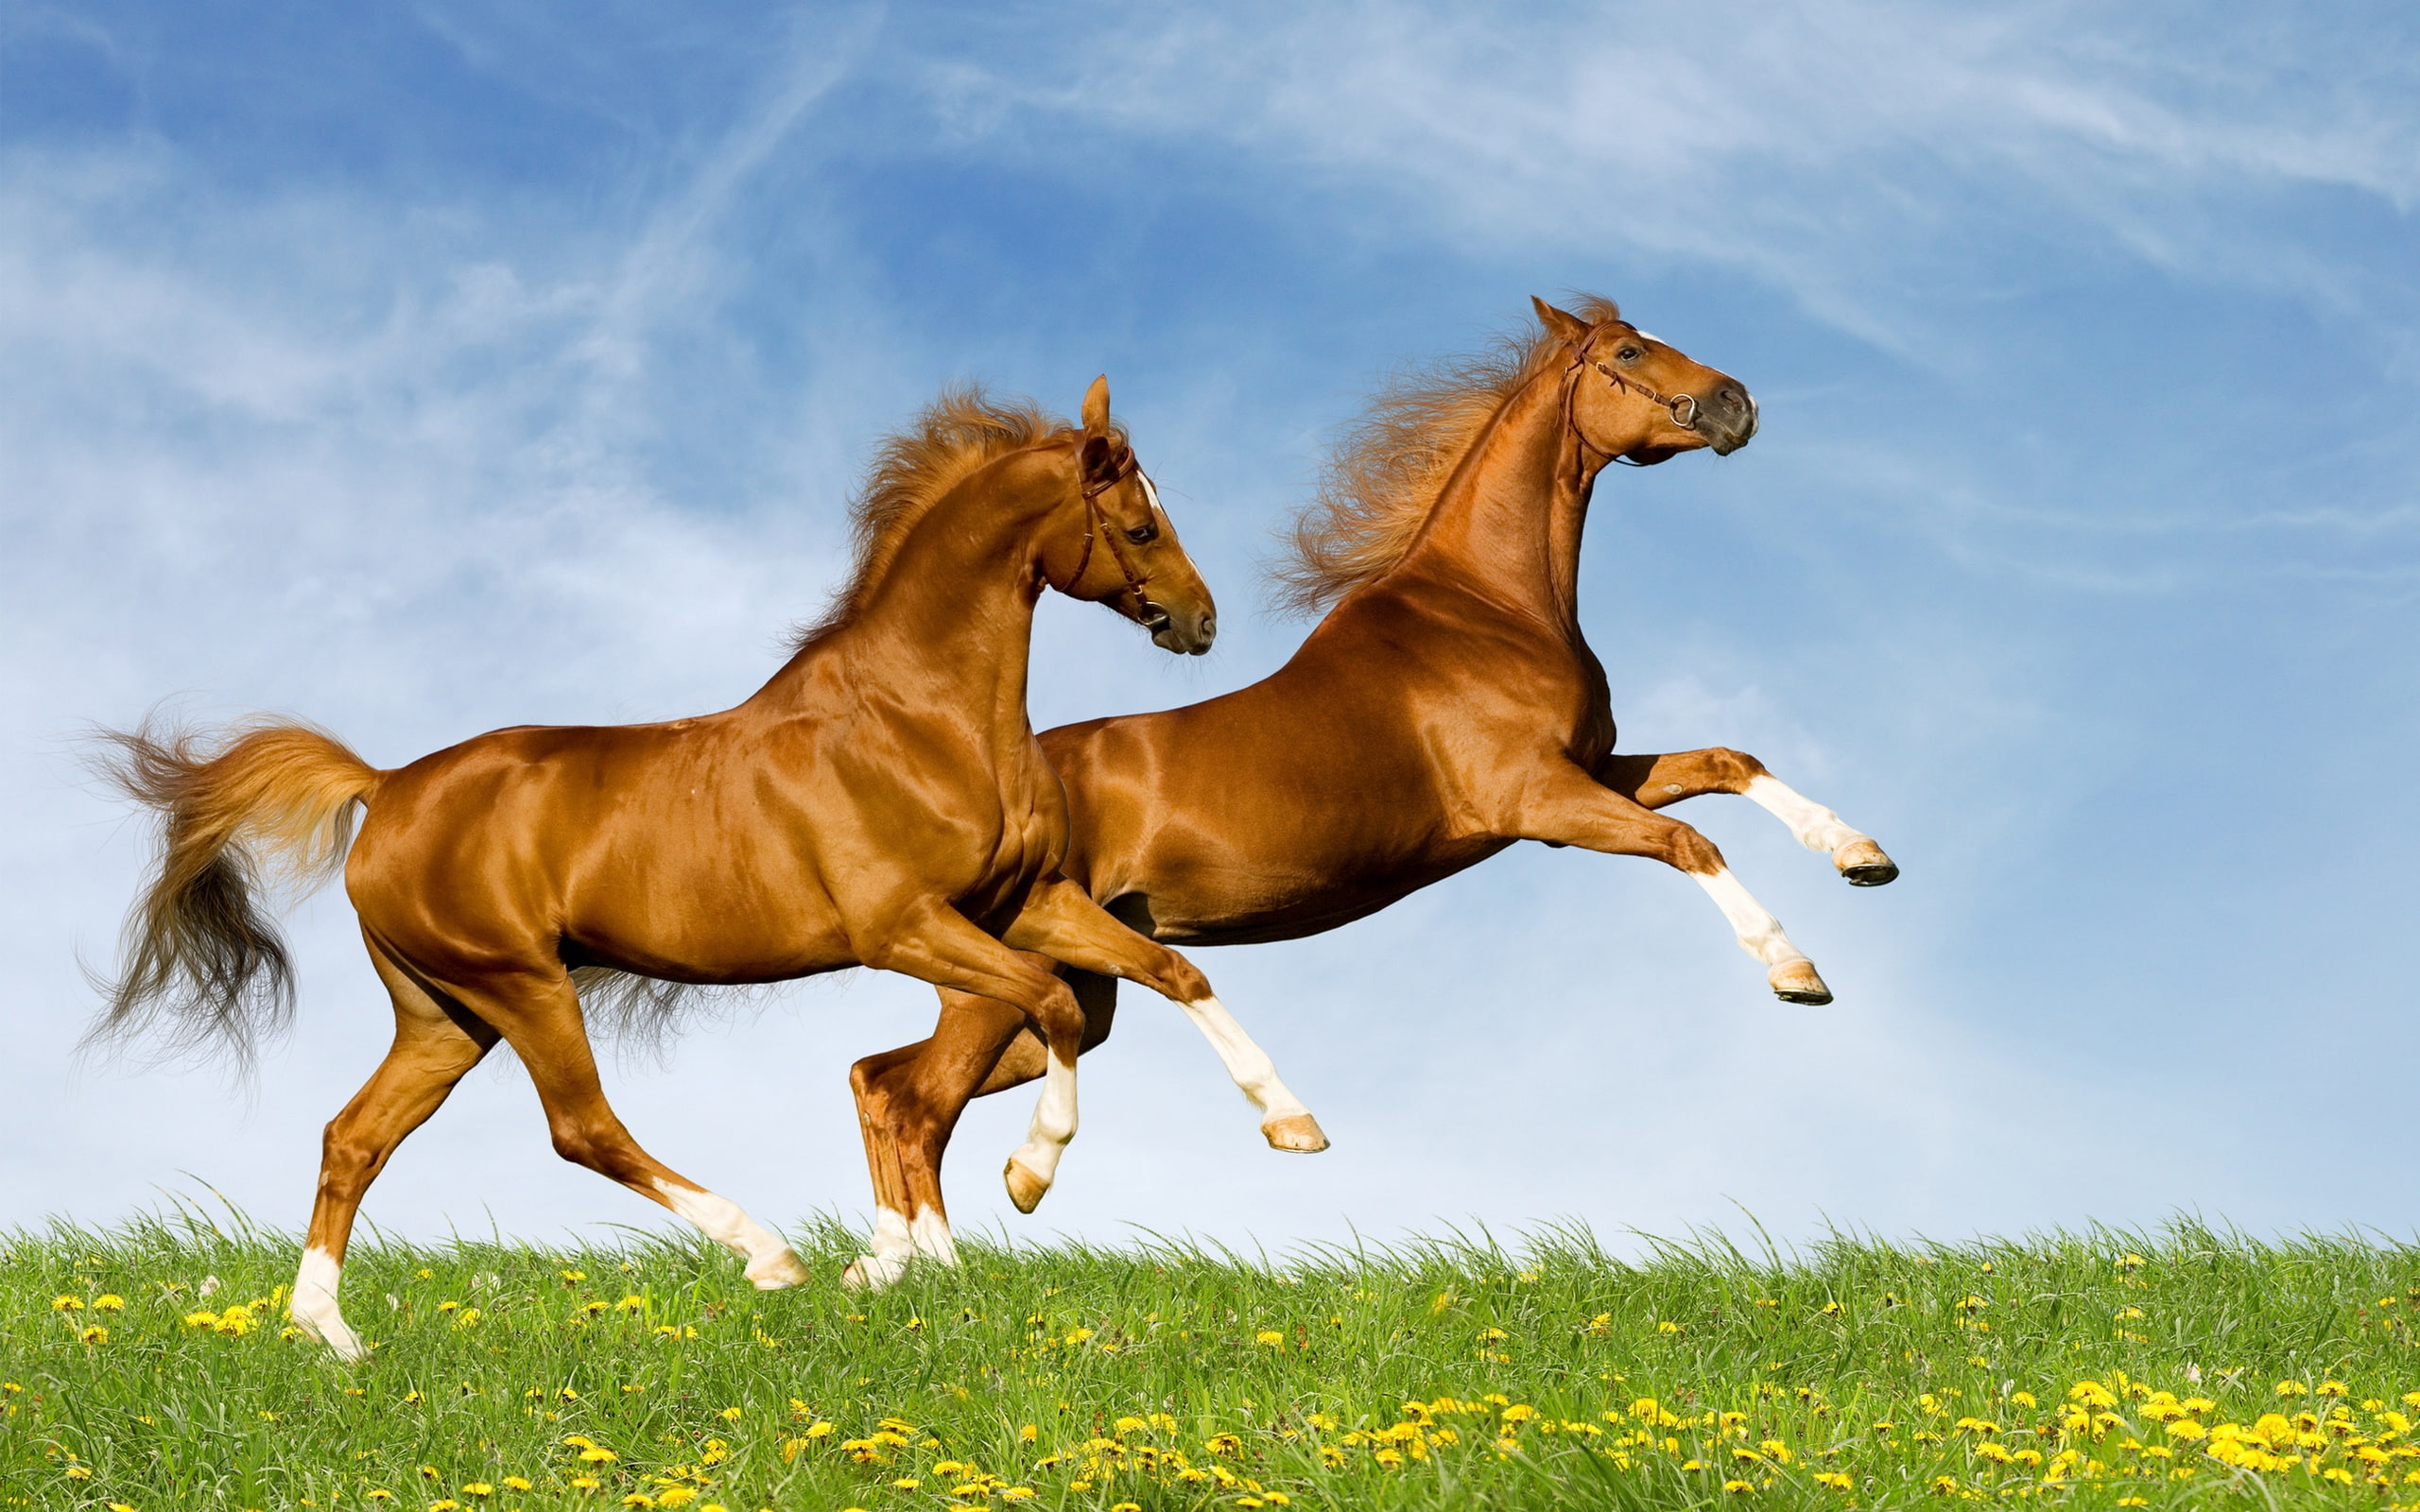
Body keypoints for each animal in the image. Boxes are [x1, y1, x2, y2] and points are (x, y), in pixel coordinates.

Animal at [89, 377, 1292, 1354]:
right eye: (1139, 523)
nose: (1200, 623)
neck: (921, 719)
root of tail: (385, 786)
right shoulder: (903, 926)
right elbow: (1050, 1007)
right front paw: (1027, 1177)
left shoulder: (1025, 902)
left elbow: (1170, 971)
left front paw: (1292, 1124)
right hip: (520, 982)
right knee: (581, 1128)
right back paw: (767, 1252)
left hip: (444, 1012)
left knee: (355, 1137)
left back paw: (330, 1336)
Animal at [842, 298, 1897, 1280]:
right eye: (1630, 351)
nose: (1736, 404)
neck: (1489, 608)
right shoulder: (1541, 803)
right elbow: (1691, 844)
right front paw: (1795, 971)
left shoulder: (1594, 771)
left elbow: (1729, 763)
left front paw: (1861, 854)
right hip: (1006, 985)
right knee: (912, 1101)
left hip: (1068, 990)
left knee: (880, 1078)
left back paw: (887, 1263)